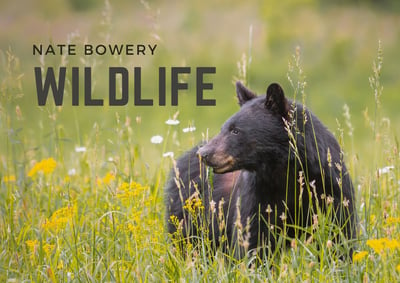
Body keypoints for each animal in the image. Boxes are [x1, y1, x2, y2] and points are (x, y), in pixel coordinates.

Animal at [164, 81, 358, 260]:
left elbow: (339, 231)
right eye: (223, 128)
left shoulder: (330, 187)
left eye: (235, 131)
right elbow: (252, 236)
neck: (284, 171)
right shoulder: (258, 193)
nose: (204, 154)